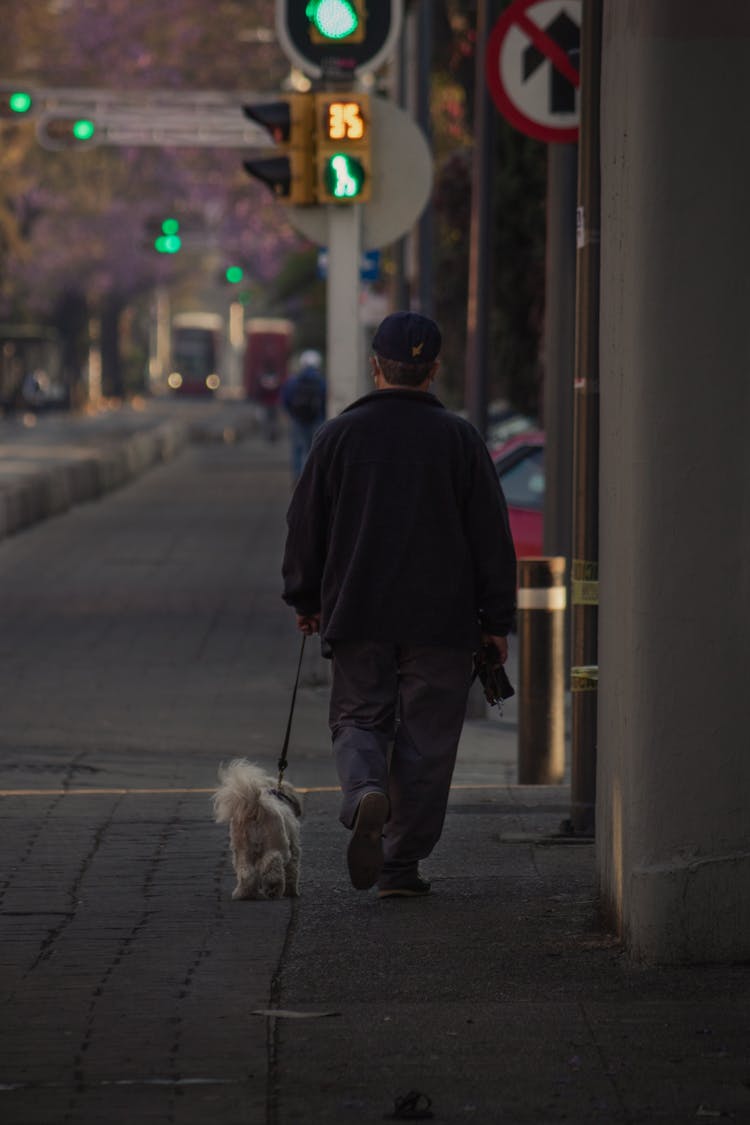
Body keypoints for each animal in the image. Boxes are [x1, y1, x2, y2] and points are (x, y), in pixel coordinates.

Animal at [211, 760, 301, 900]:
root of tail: (256, 808)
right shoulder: (294, 848)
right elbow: (292, 871)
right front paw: (292, 892)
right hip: (278, 844)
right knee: (272, 862)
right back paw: (273, 888)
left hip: (242, 850)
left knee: (247, 872)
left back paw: (245, 893)